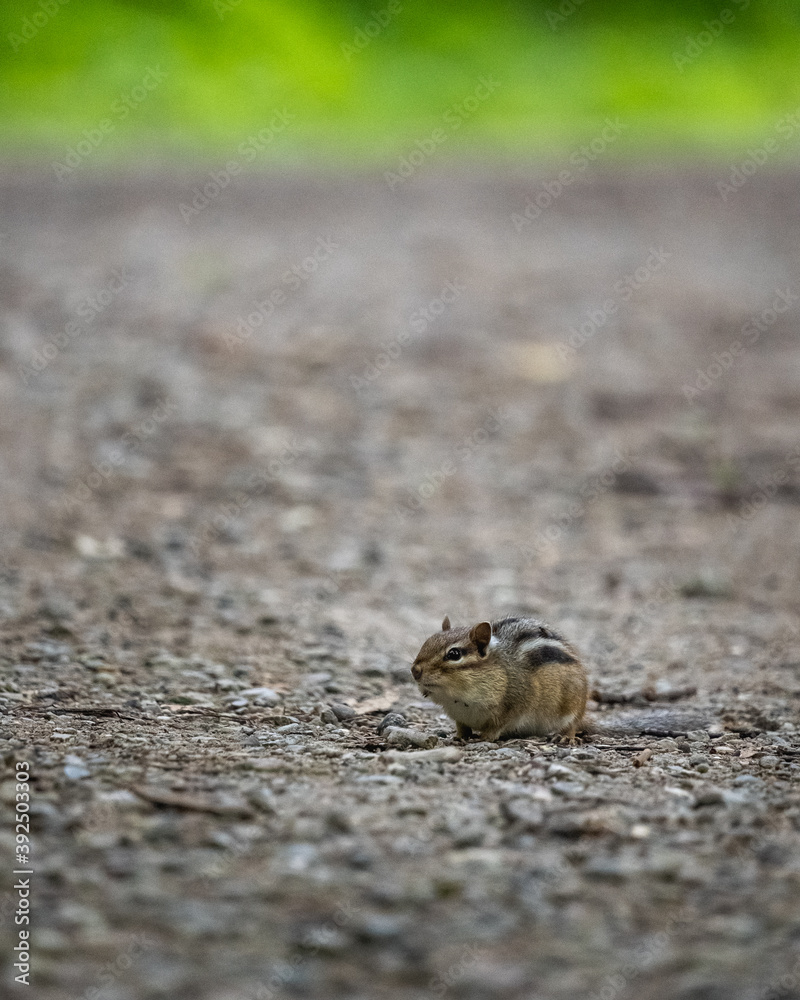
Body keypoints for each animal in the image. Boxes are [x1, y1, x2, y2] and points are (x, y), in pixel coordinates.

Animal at [411, 616, 709, 744]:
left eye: (454, 654)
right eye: (426, 642)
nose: (414, 670)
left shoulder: (515, 702)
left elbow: (498, 726)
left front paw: (483, 737)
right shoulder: (459, 715)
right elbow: (461, 727)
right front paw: (458, 737)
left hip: (571, 706)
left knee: (573, 724)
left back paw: (565, 736)